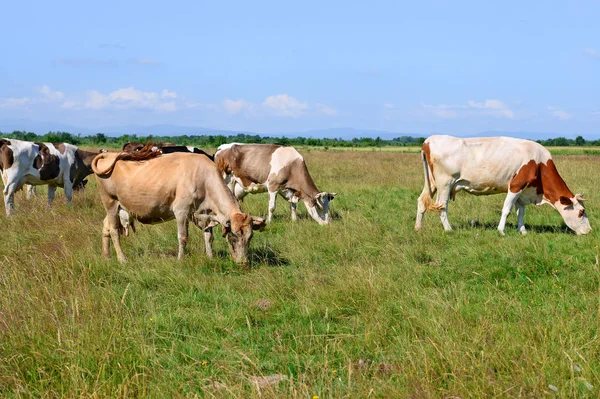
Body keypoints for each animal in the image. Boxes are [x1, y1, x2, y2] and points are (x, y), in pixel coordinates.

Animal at [91, 145, 264, 266]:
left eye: (250, 237)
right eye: (233, 236)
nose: (243, 263)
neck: (204, 178)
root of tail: (109, 155)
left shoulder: (203, 213)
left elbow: (209, 237)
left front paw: (210, 256)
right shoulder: (181, 212)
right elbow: (183, 237)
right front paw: (181, 260)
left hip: (119, 207)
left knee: (106, 227)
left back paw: (106, 256)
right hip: (110, 202)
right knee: (114, 231)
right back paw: (122, 259)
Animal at [414, 136, 592, 236]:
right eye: (581, 212)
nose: (589, 231)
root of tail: (428, 140)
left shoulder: (524, 190)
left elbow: (521, 212)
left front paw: (523, 231)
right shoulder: (516, 185)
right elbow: (507, 209)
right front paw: (501, 231)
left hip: (431, 182)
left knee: (422, 201)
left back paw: (418, 228)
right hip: (445, 183)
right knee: (442, 206)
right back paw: (449, 229)